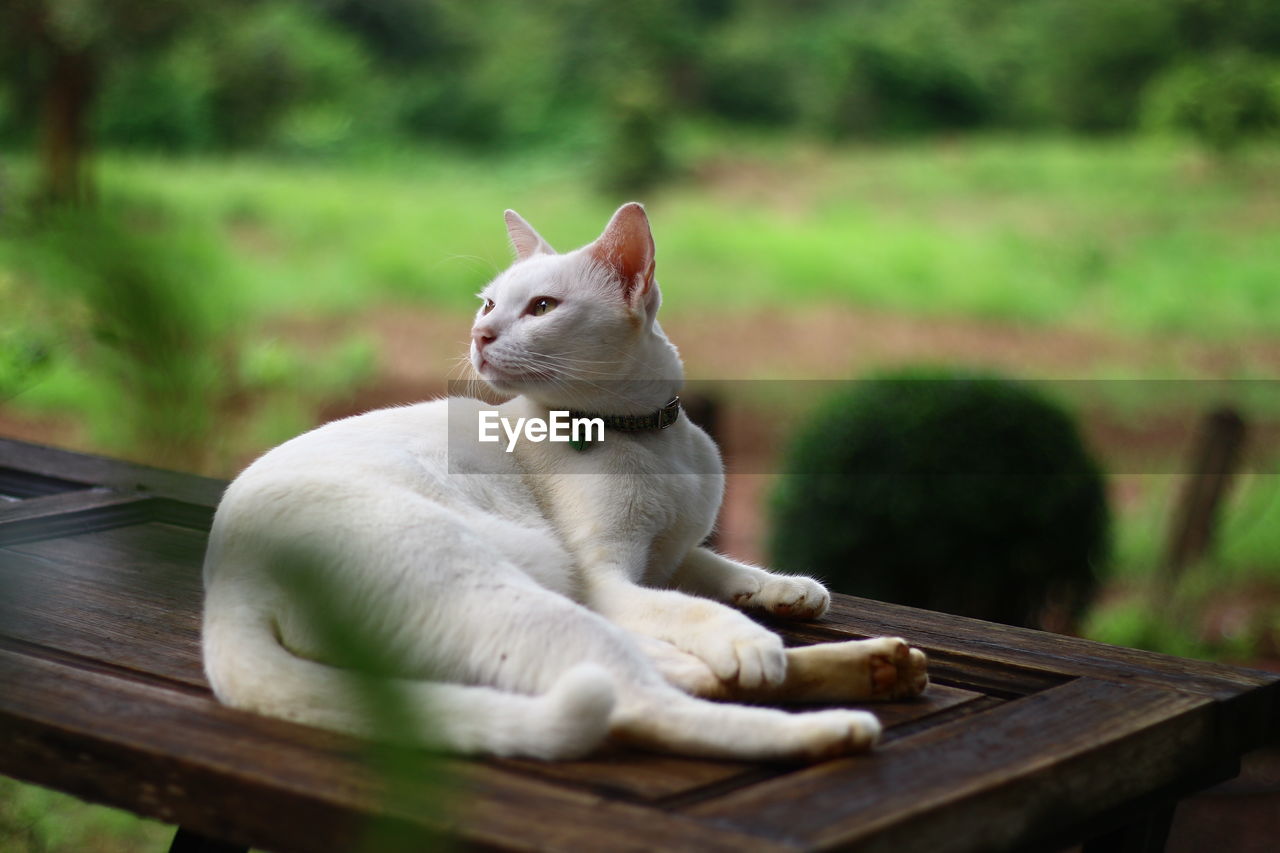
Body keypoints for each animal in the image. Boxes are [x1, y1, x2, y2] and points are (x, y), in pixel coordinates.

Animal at [199, 204, 926, 758]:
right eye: (490, 305)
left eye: (541, 307)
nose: (480, 334)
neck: (646, 434)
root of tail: (228, 590)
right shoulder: (607, 576)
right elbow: (689, 606)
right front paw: (742, 635)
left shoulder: (669, 552)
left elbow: (714, 566)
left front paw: (786, 589)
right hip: (525, 595)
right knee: (648, 698)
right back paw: (834, 723)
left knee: (669, 676)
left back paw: (882, 667)